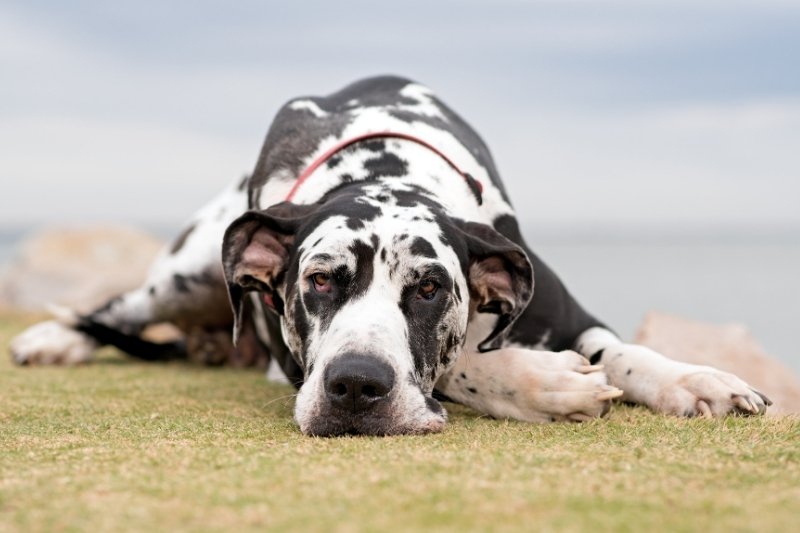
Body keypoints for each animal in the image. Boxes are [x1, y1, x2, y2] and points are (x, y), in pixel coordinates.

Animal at [9, 77, 772, 434]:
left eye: (431, 289)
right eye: (318, 281)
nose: (355, 387)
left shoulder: (563, 306)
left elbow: (624, 352)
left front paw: (694, 380)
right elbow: (461, 363)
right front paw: (542, 383)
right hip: (189, 266)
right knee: (119, 306)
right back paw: (53, 339)